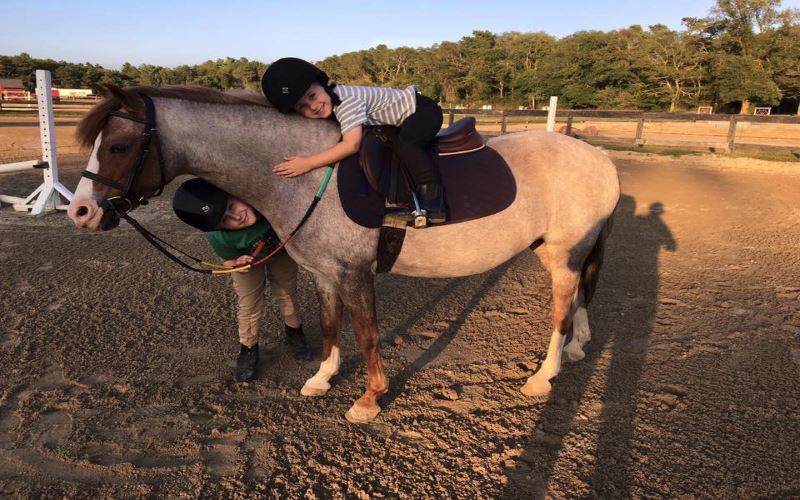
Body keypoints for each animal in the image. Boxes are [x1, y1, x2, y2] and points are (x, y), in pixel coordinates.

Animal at [67, 86, 620, 422]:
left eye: (117, 146)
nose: (80, 212)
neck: (308, 173)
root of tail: (599, 157)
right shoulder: (324, 272)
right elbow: (331, 326)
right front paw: (322, 378)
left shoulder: (355, 273)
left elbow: (367, 334)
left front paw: (369, 400)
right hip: (564, 254)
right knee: (578, 301)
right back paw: (575, 350)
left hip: (562, 256)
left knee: (560, 311)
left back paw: (543, 378)